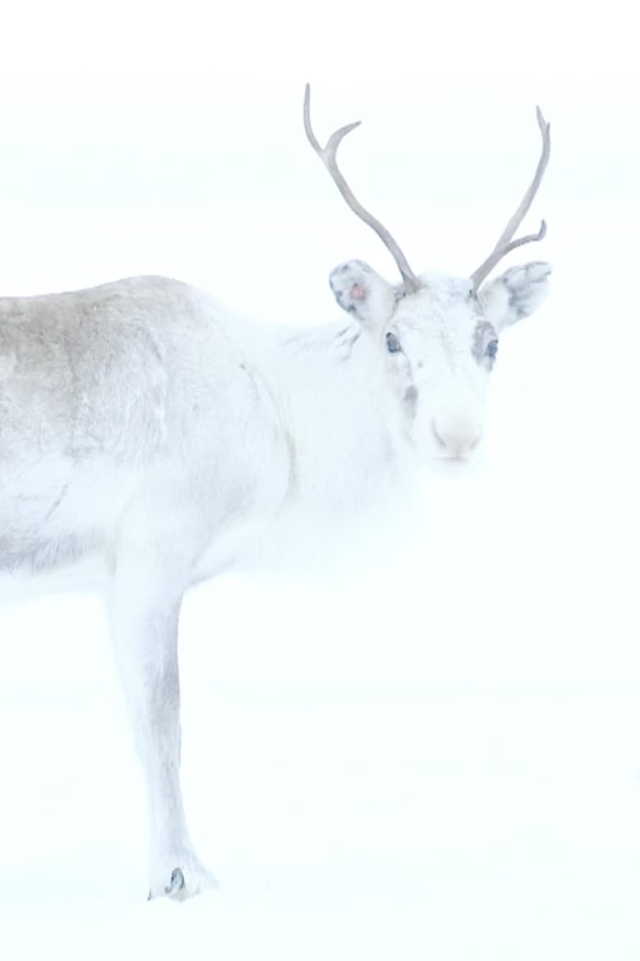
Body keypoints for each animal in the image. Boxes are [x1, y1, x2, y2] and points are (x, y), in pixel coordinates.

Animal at [0, 87, 552, 900]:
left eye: (492, 341)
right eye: (394, 337)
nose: (455, 434)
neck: (277, 408)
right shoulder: (151, 558)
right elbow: (161, 724)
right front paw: (179, 874)